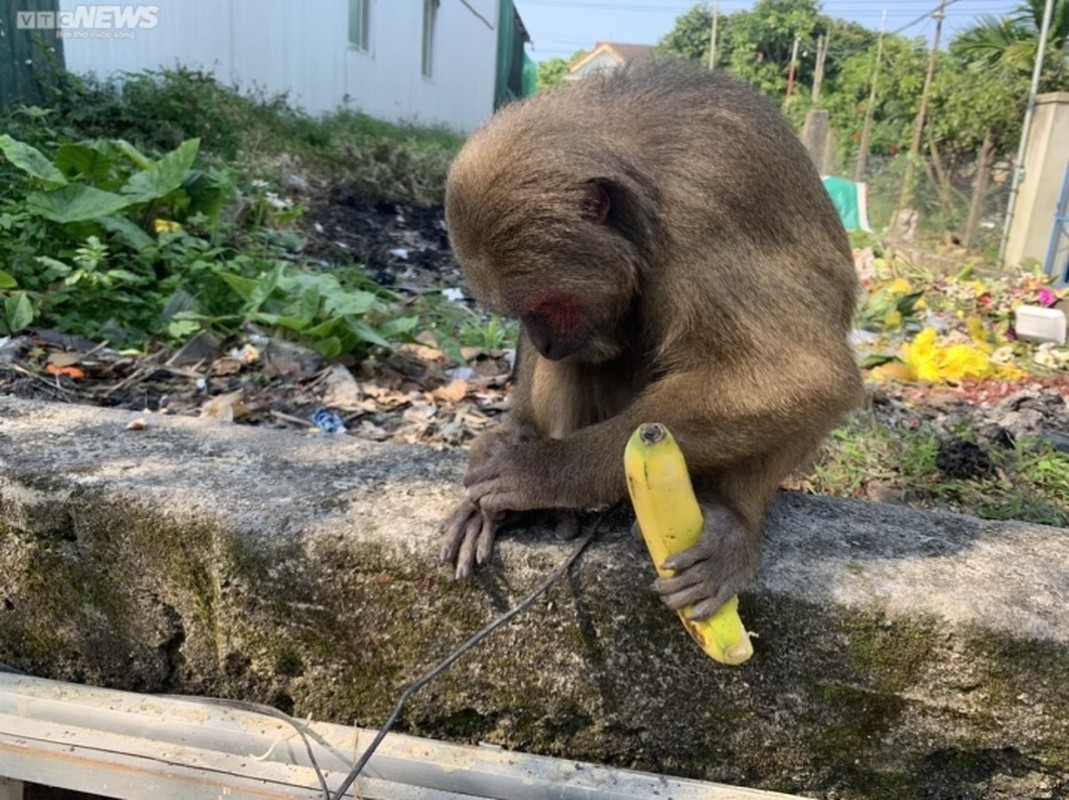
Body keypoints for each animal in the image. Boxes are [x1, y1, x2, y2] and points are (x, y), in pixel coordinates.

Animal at [438, 59, 863, 620]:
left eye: (548, 305)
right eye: (522, 315)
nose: (545, 341)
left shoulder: (706, 211)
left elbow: (807, 373)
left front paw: (543, 472)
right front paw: (516, 445)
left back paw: (731, 515)